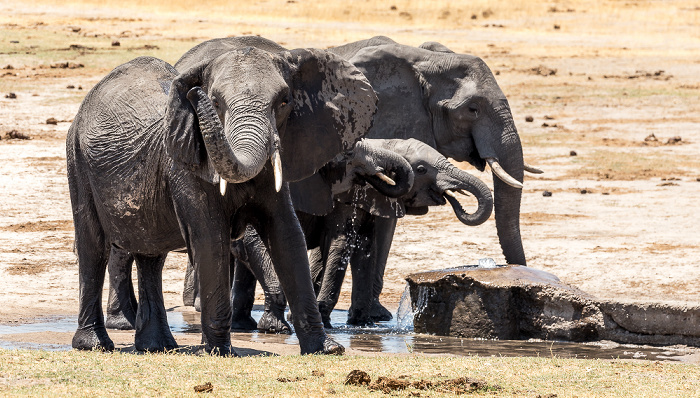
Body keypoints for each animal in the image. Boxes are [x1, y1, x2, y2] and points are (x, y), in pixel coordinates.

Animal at [67, 39, 378, 354]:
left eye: (284, 102)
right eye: (215, 102)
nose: (197, 94)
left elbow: (287, 236)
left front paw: (326, 348)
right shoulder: (185, 165)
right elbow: (210, 237)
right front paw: (220, 351)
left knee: (151, 255)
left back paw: (156, 346)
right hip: (77, 160)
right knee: (94, 247)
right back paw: (94, 344)